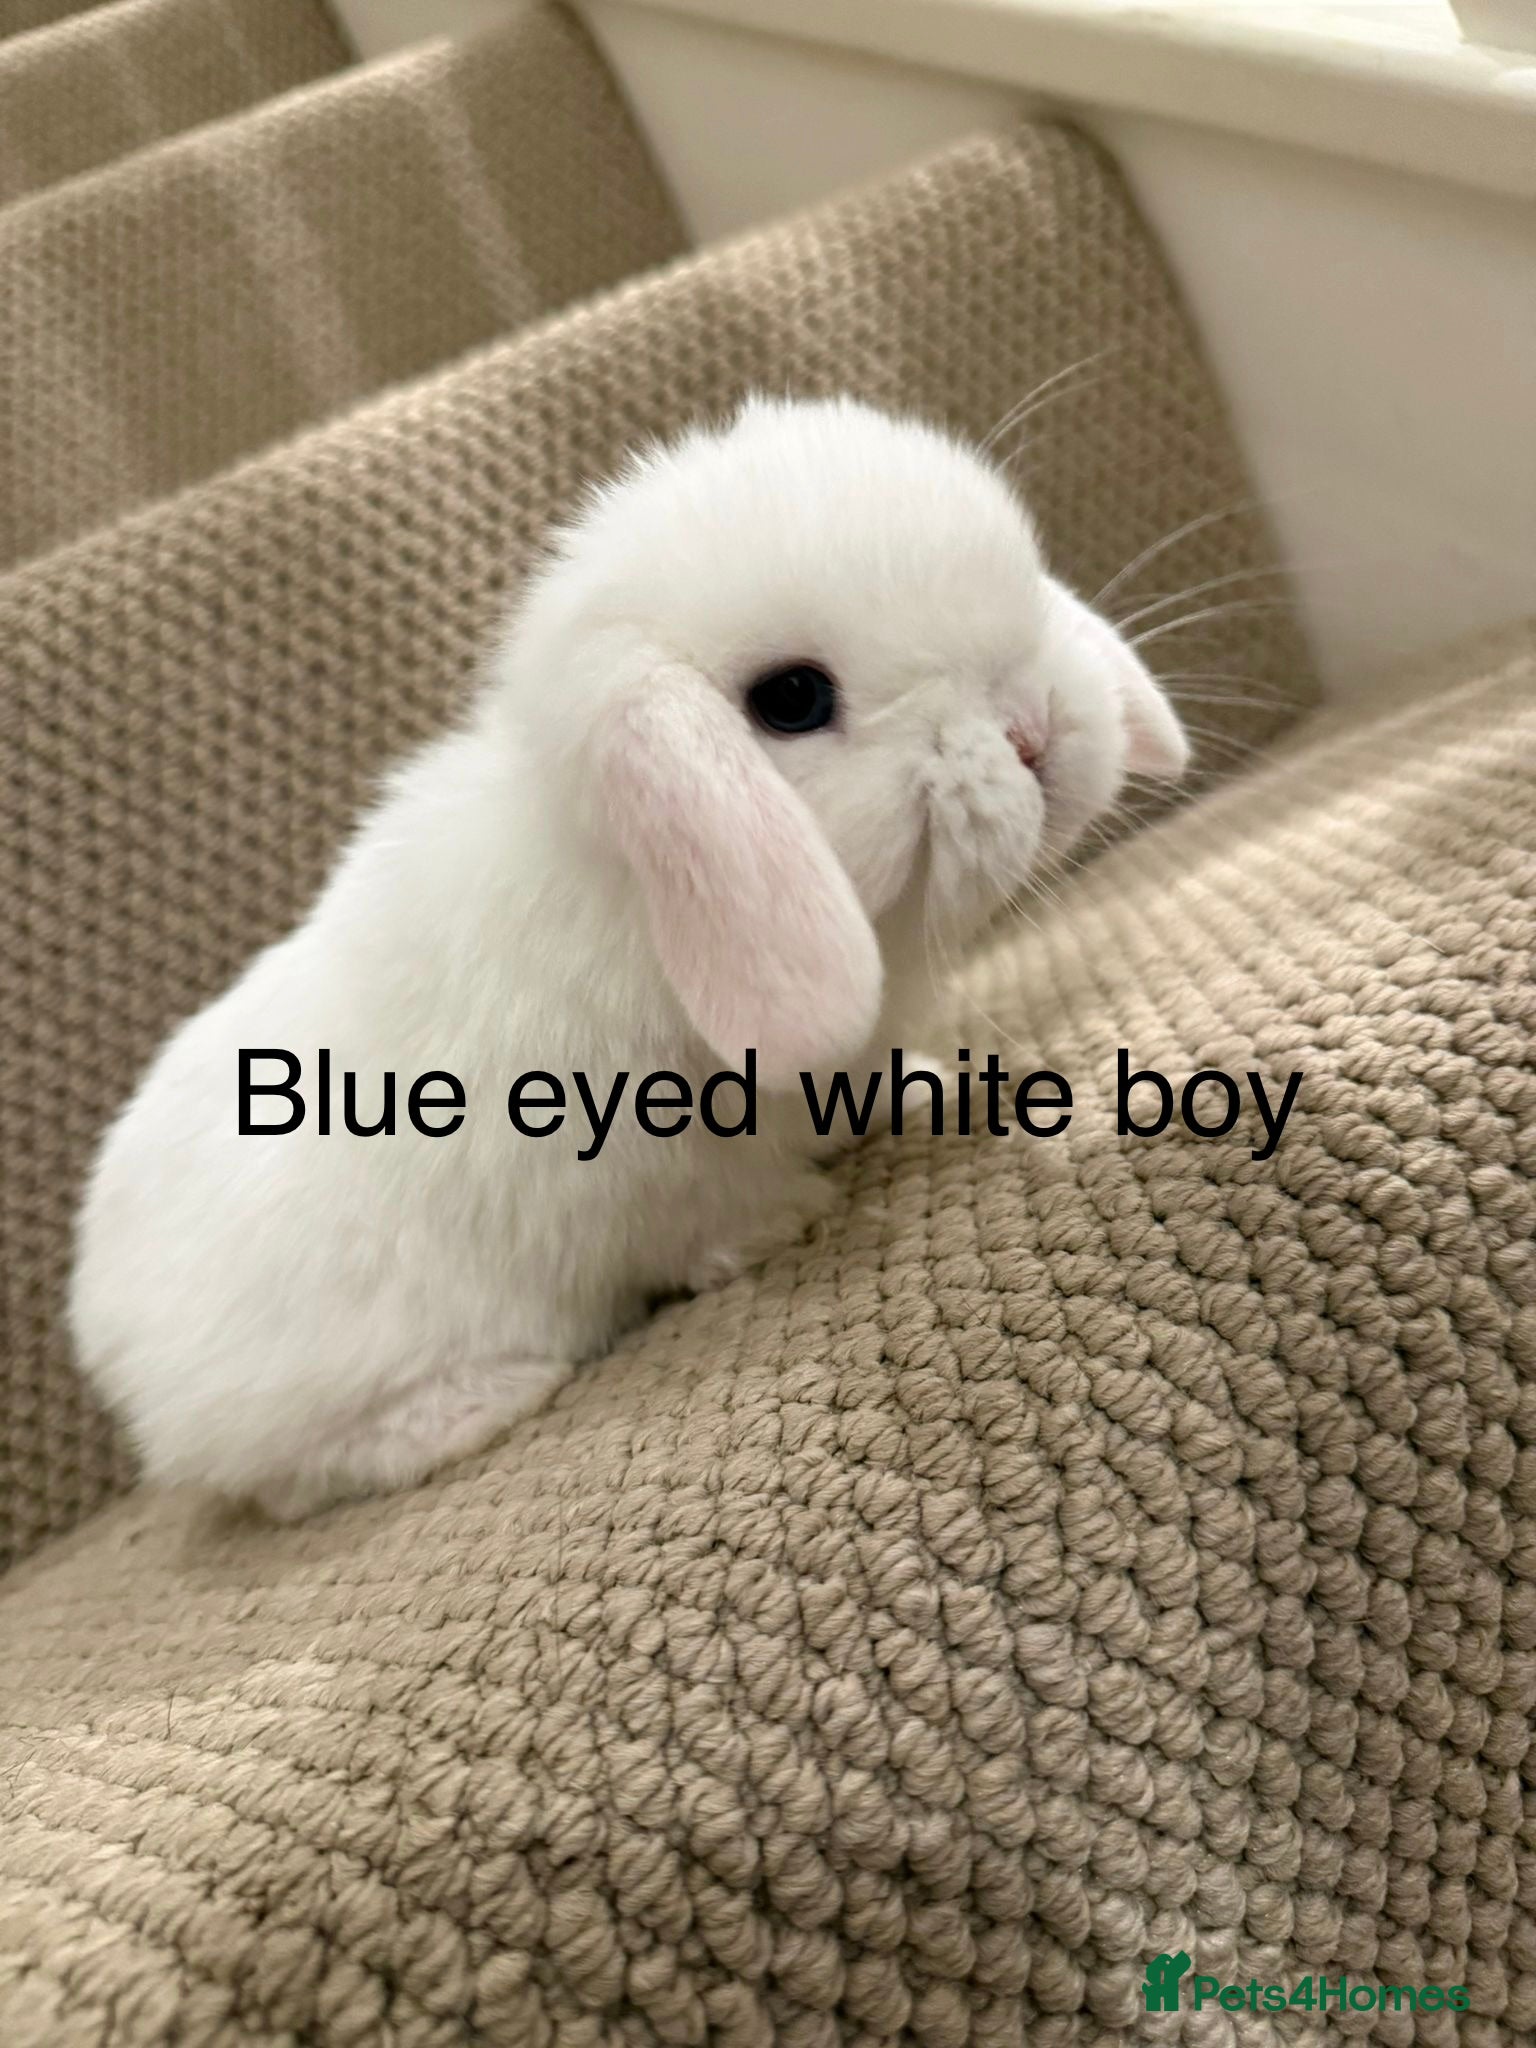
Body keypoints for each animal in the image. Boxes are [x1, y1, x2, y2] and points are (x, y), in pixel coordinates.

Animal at [70, 395, 1189, 1519]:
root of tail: (106, 1332)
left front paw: (921, 1087)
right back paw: (488, 1397)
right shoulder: (643, 1165)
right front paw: (787, 1218)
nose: (1034, 732)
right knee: (302, 1476)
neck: (639, 902)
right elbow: (706, 1217)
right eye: (792, 699)